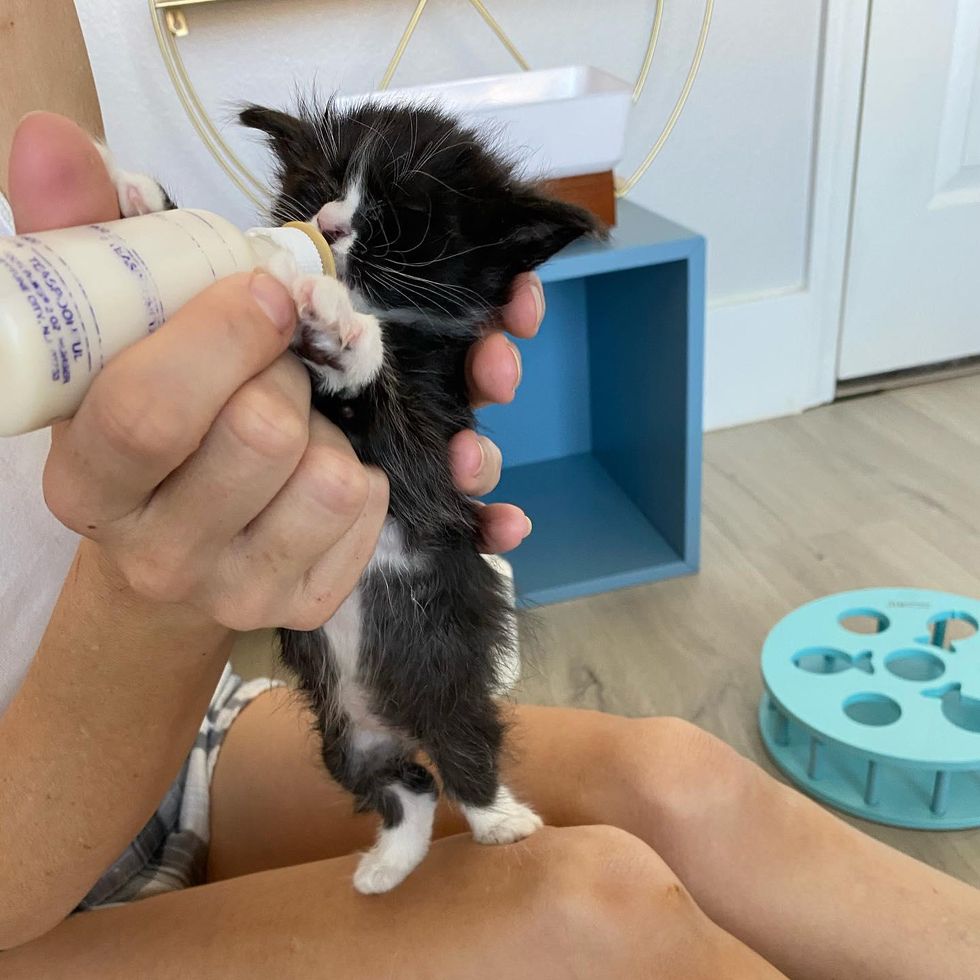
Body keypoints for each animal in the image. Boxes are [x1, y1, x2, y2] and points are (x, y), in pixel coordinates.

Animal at [107, 101, 596, 896]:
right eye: (317, 189)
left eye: (401, 220)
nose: (328, 226)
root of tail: (398, 717)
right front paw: (150, 212)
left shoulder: (430, 449)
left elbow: (390, 420)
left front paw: (340, 337)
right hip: (345, 734)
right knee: (407, 787)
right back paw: (389, 864)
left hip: (449, 684)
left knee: (467, 757)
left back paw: (502, 822)